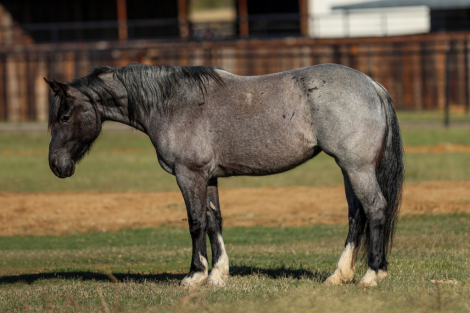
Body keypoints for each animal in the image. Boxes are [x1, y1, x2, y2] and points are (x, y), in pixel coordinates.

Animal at [45, 63, 404, 288]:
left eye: (64, 116)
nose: (56, 165)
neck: (172, 103)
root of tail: (372, 84)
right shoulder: (209, 177)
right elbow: (214, 220)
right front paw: (218, 274)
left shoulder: (188, 175)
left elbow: (195, 223)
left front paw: (194, 275)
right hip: (348, 169)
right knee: (356, 215)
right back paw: (339, 275)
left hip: (356, 168)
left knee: (375, 209)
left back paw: (372, 275)